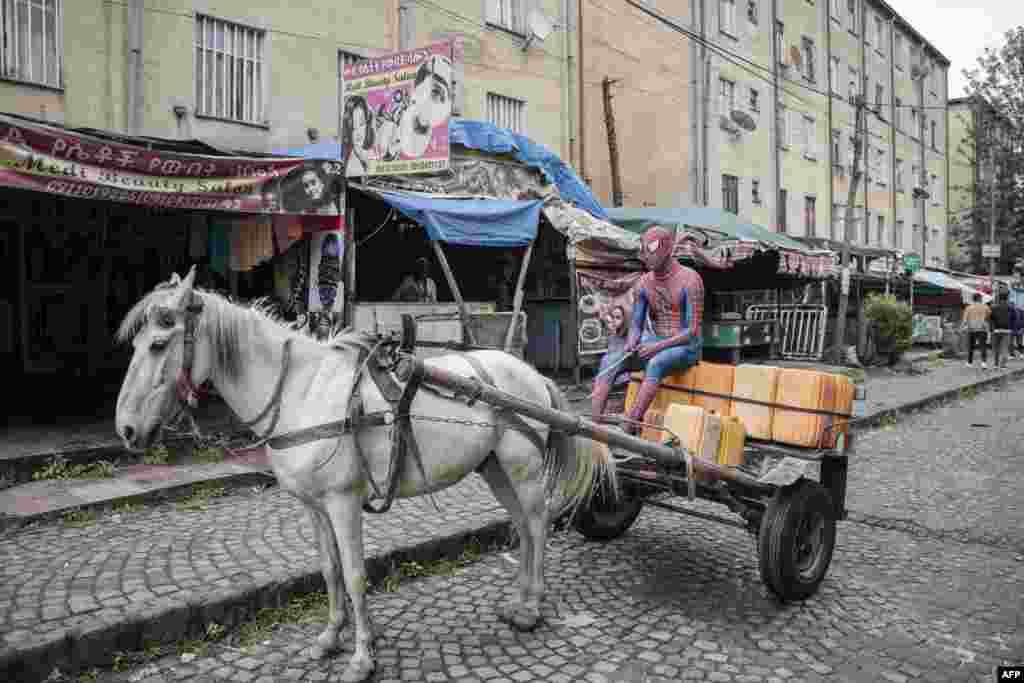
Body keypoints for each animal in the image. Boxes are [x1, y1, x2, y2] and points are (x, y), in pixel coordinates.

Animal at [114, 268, 614, 683]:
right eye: (136, 346)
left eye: (159, 344)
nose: (127, 430)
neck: (301, 391)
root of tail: (530, 373)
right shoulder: (314, 506)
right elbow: (330, 570)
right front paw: (329, 638)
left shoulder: (342, 501)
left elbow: (355, 575)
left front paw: (362, 657)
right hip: (494, 470)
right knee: (523, 527)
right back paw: (519, 600)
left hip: (521, 468)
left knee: (538, 524)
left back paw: (532, 607)